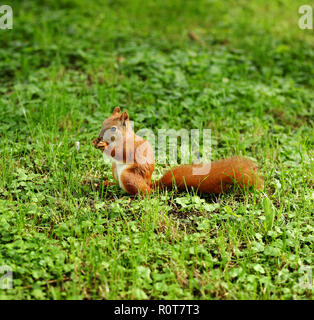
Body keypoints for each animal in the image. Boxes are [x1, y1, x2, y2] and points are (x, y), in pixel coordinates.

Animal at [92, 106, 264, 195]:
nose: (99, 136)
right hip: (116, 171)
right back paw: (108, 184)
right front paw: (95, 142)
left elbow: (121, 153)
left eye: (113, 128)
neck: (123, 137)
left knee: (144, 194)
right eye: (104, 122)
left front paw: (104, 146)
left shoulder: (132, 147)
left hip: (129, 177)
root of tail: (150, 184)